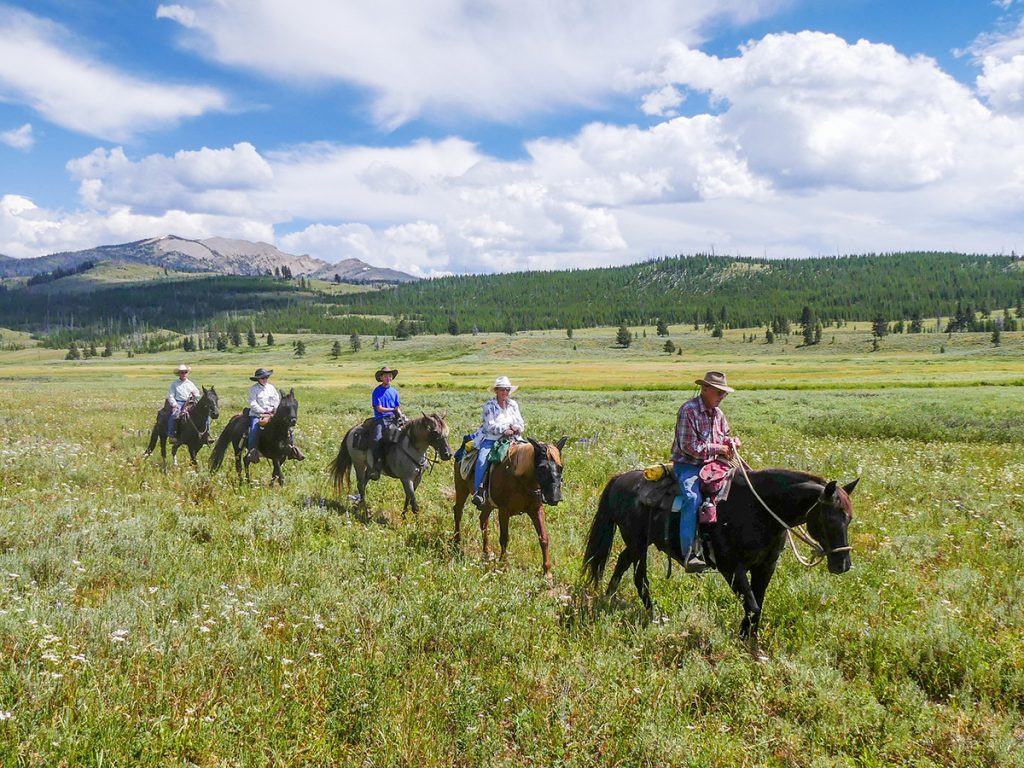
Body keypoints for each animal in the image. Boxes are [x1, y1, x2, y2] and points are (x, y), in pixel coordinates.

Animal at [454, 438, 569, 577]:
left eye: (560, 467)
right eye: (542, 467)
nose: (555, 498)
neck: (520, 477)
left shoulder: (536, 509)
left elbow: (544, 538)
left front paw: (548, 573)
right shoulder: (504, 511)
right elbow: (504, 538)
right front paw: (503, 566)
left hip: (488, 504)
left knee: (483, 521)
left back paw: (487, 552)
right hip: (461, 488)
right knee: (458, 512)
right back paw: (457, 543)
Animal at [585, 468, 856, 651]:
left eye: (850, 518)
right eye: (830, 519)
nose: (843, 564)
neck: (760, 510)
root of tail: (621, 478)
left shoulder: (765, 567)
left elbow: (757, 607)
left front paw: (750, 644)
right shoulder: (731, 567)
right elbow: (752, 605)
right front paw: (747, 644)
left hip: (638, 543)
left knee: (622, 561)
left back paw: (608, 597)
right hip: (639, 543)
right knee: (639, 577)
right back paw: (653, 615)